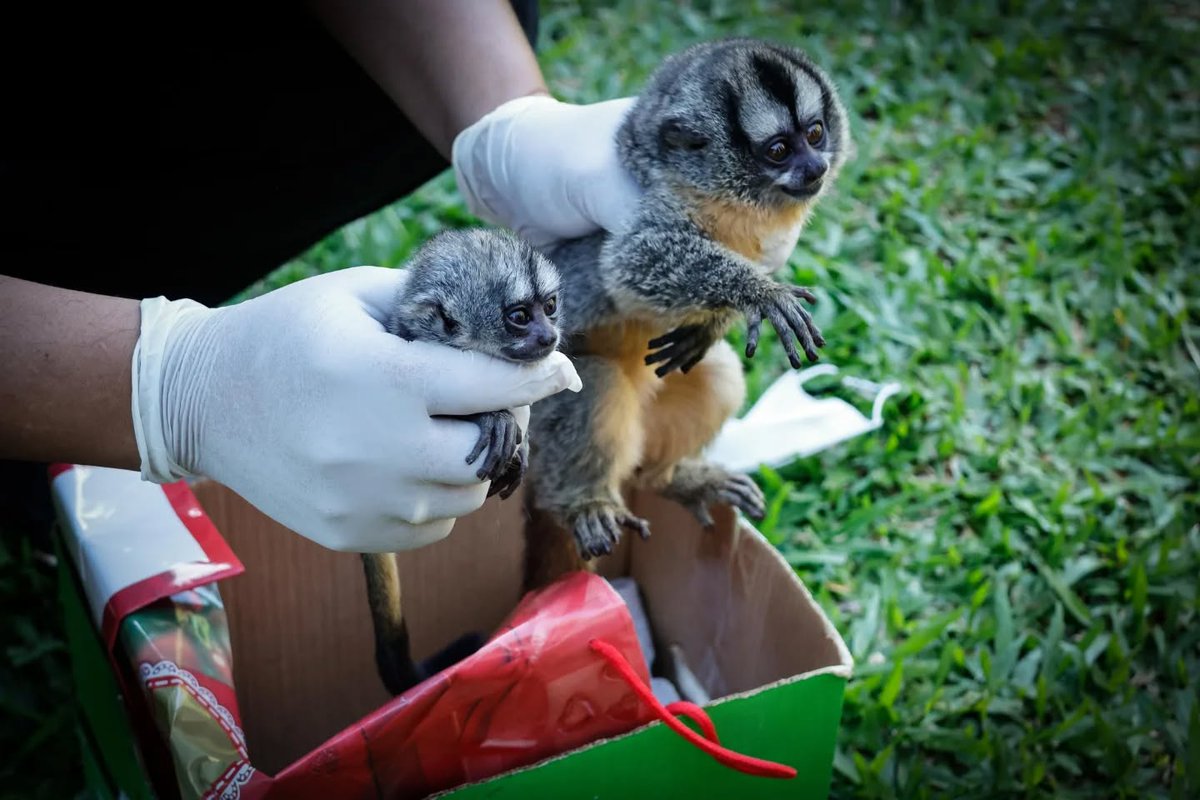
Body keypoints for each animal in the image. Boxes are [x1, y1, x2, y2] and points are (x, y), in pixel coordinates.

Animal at [523, 37, 853, 588]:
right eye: (778, 150)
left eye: (815, 132)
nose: (815, 168)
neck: (737, 203)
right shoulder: (656, 204)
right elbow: (628, 260)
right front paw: (758, 294)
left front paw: (714, 323)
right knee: (596, 384)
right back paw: (585, 503)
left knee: (718, 377)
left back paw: (677, 480)